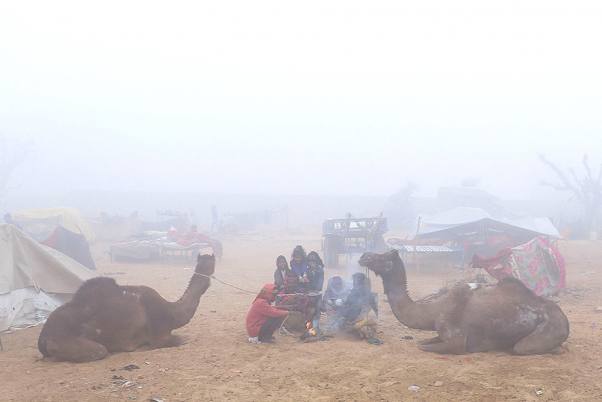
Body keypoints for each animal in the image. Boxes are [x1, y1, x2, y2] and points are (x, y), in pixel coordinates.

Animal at [38, 253, 216, 362]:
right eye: (206, 263)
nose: (207, 267)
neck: (172, 312)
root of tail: (43, 338)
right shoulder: (160, 335)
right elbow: (181, 339)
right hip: (66, 340)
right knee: (100, 350)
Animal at [356, 250, 568, 356]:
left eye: (383, 256)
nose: (364, 256)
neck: (433, 311)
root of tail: (564, 318)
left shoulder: (456, 341)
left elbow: (423, 346)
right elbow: (422, 341)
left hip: (548, 330)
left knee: (523, 347)